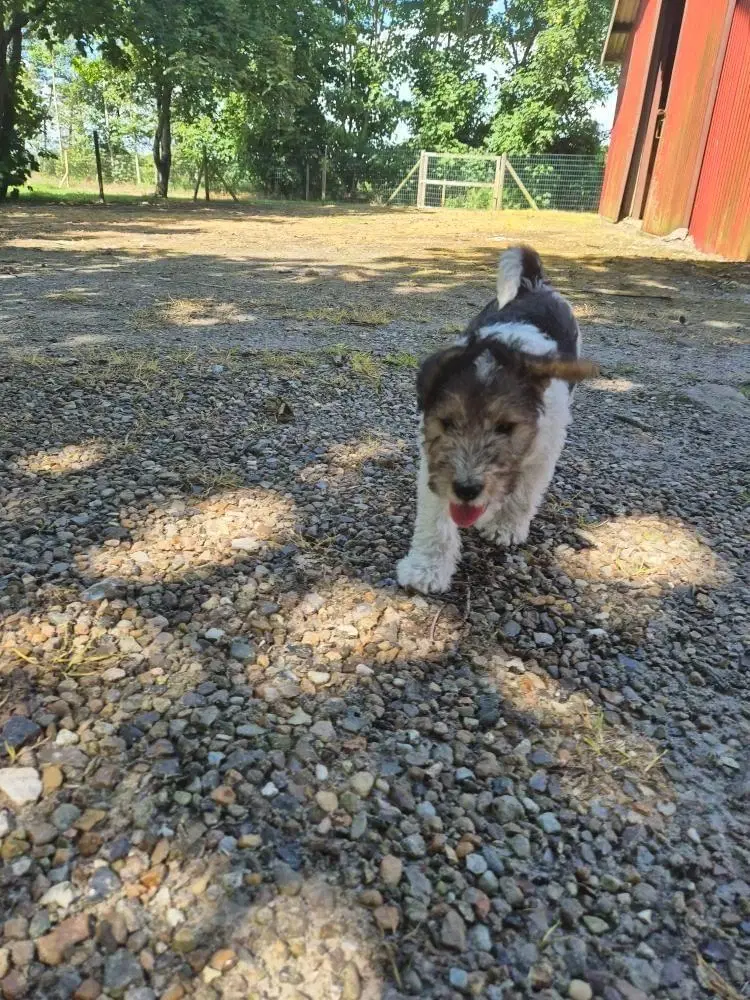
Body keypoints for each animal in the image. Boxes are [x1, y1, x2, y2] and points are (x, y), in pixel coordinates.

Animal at [400, 245, 600, 592]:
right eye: (447, 423)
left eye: (506, 427)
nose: (467, 489)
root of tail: (533, 284)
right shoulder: (434, 462)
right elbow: (435, 520)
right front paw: (426, 569)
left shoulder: (543, 453)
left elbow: (523, 493)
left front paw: (504, 527)